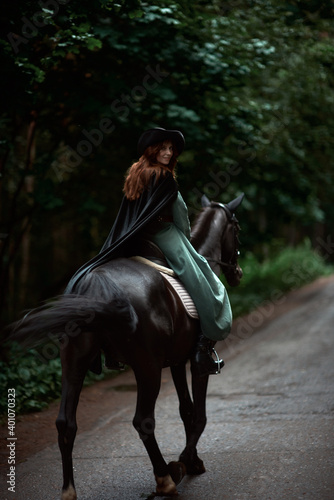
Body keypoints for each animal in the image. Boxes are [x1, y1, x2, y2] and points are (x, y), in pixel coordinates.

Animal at [9, 193, 243, 498]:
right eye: (237, 229)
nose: (238, 272)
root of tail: (94, 287)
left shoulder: (177, 361)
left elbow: (186, 410)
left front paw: (191, 460)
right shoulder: (196, 364)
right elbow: (199, 415)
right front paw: (185, 462)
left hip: (74, 362)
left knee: (66, 424)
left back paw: (69, 490)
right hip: (147, 368)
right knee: (143, 421)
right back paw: (165, 478)